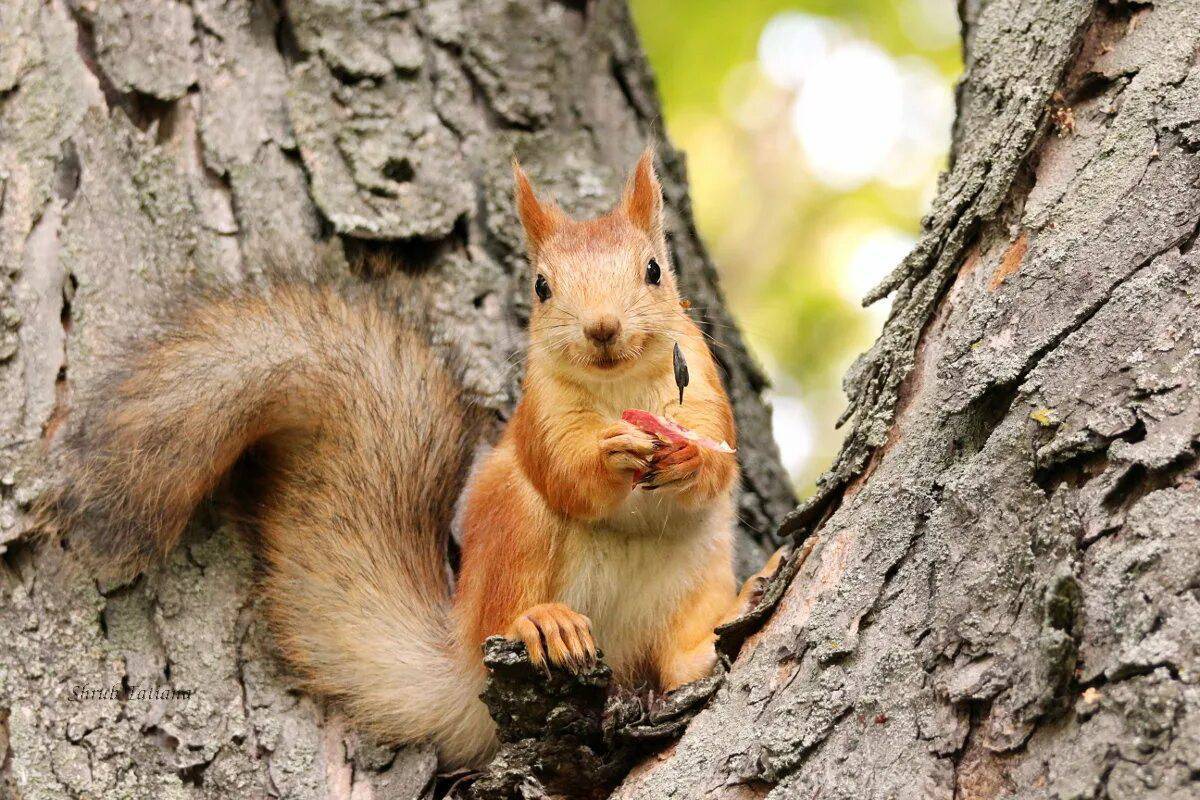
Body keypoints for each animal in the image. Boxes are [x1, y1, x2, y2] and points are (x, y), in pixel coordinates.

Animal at [37, 149, 772, 767]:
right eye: (541, 286)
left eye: (654, 269)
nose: (601, 329)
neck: (617, 386)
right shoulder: (539, 412)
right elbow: (566, 472)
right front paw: (610, 452)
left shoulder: (705, 384)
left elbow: (719, 455)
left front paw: (688, 460)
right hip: (514, 526)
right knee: (507, 607)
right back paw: (541, 622)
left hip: (694, 575)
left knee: (680, 657)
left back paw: (740, 605)